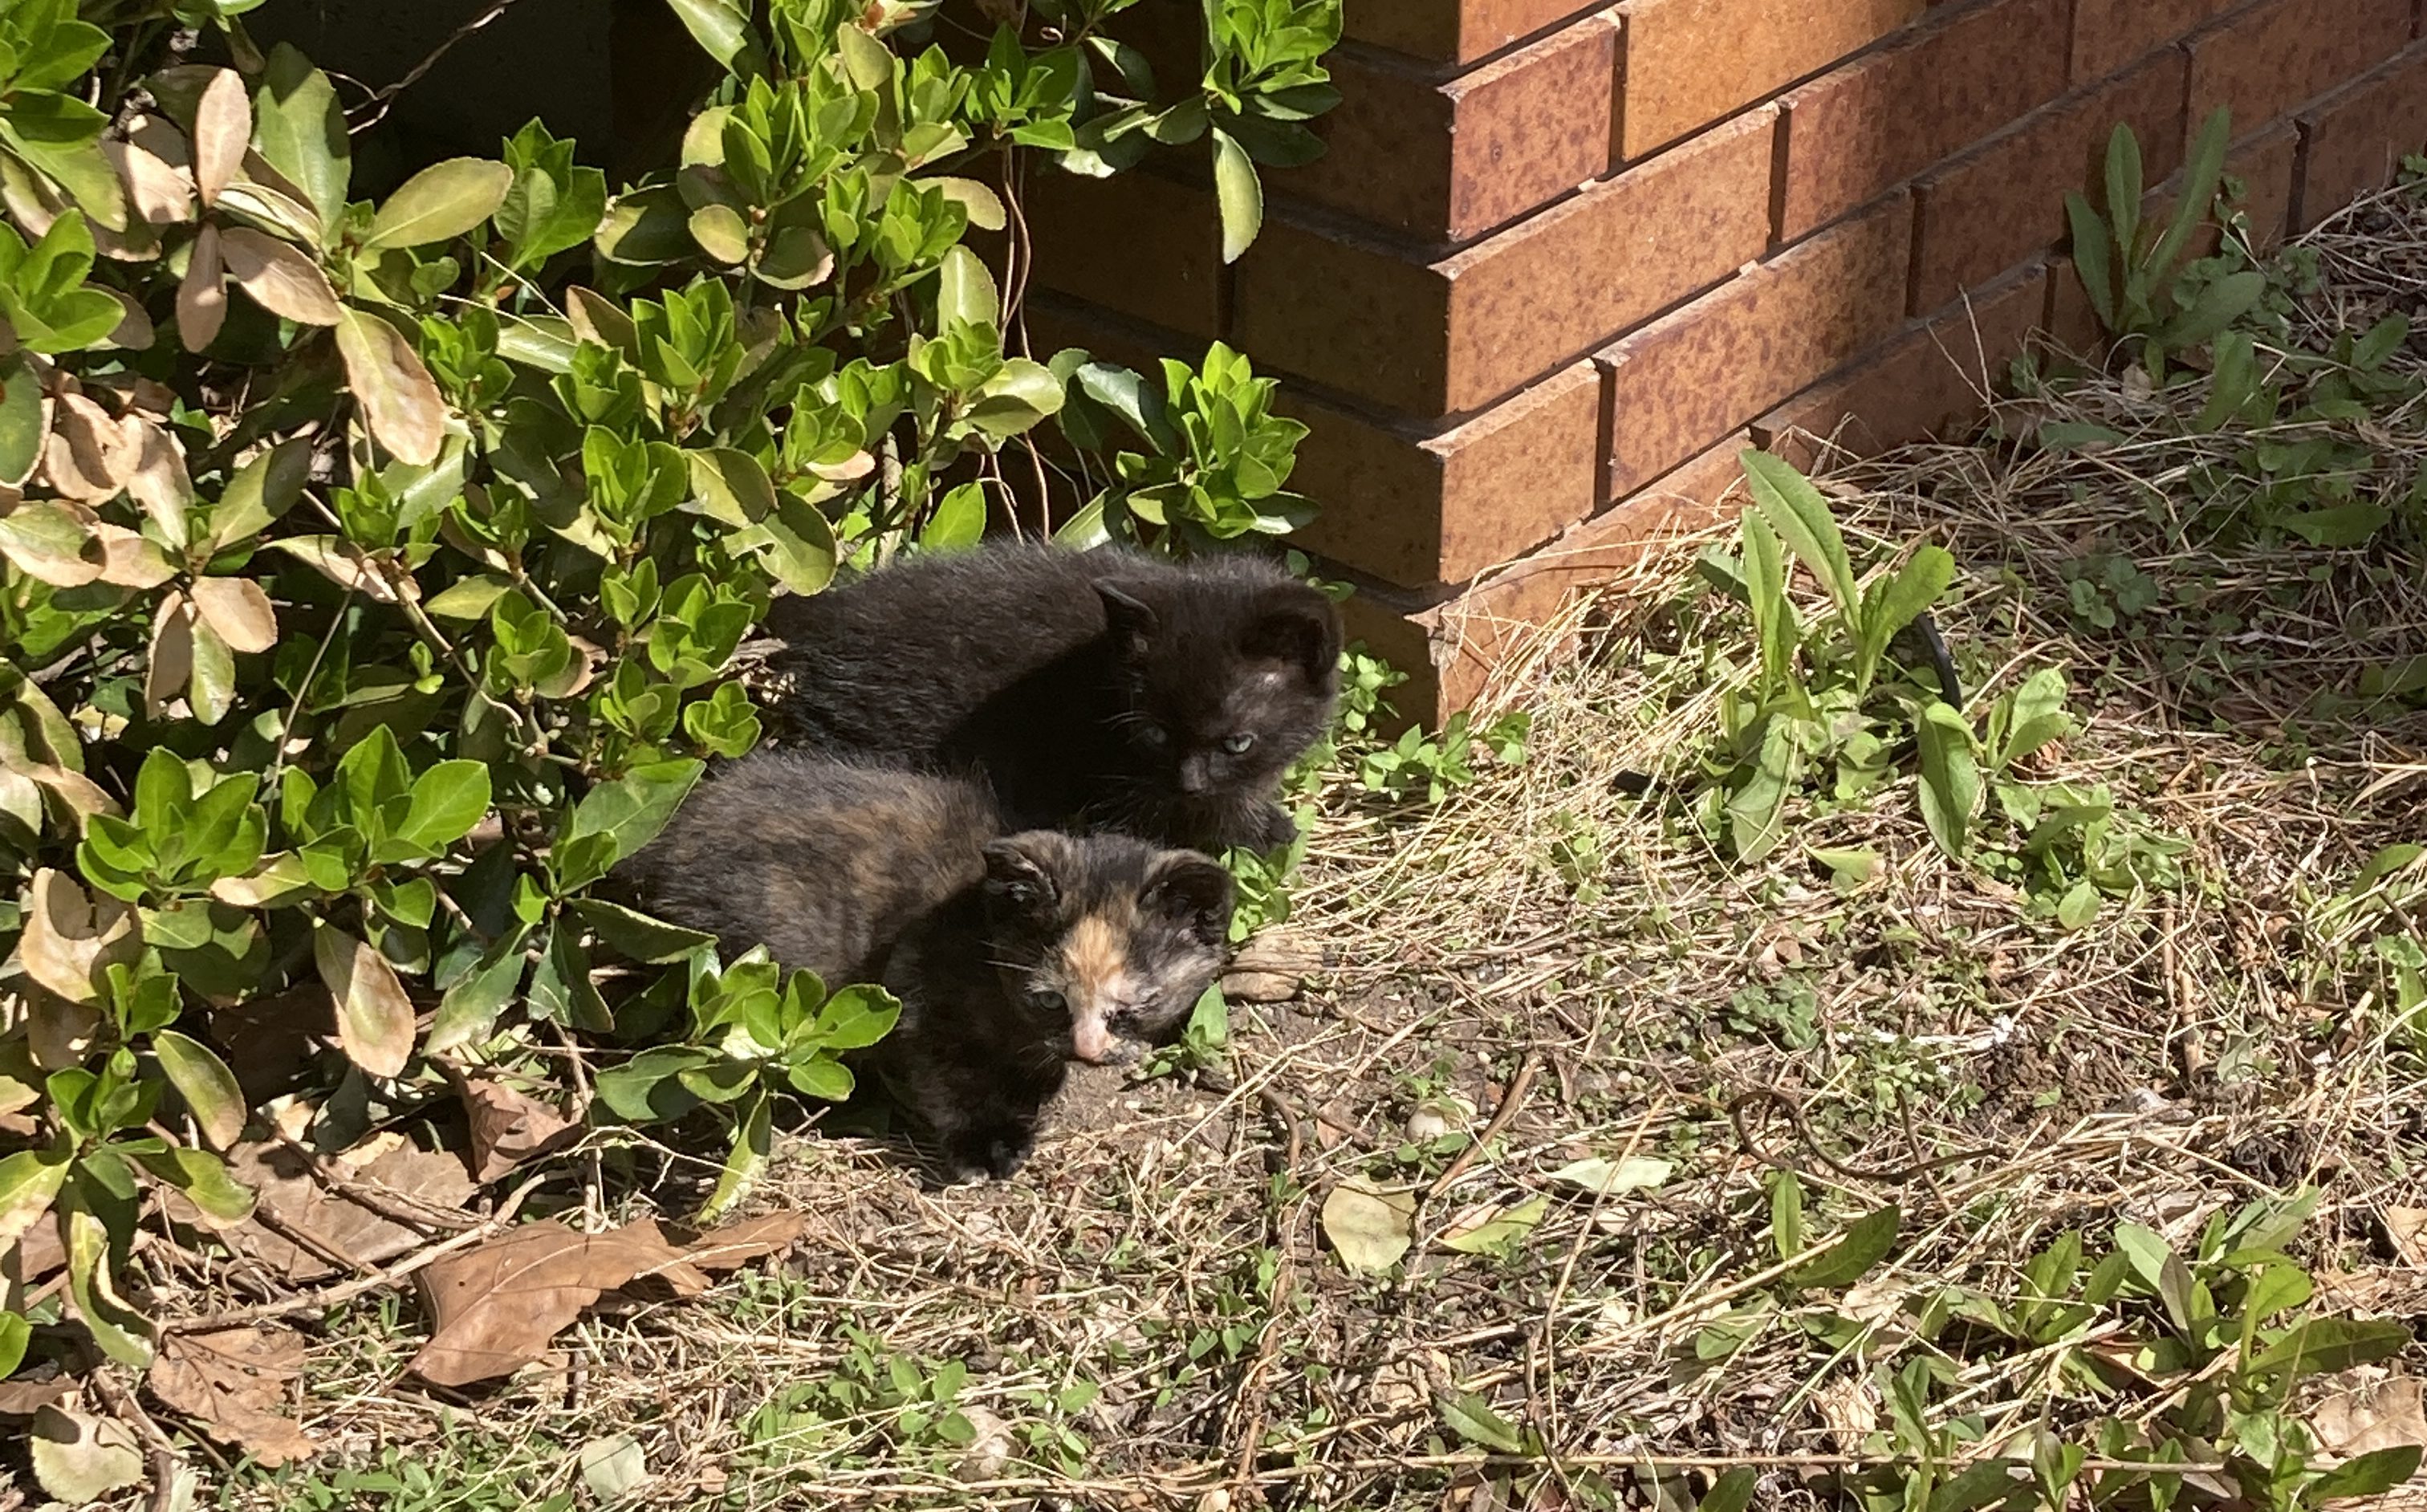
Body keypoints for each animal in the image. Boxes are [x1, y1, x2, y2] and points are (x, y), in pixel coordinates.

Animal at [762, 541, 1349, 854]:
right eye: (1155, 734)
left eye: (1237, 743)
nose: (1188, 782)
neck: (1104, 666)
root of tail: (834, 612)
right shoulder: (1114, 786)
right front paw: (1262, 831)